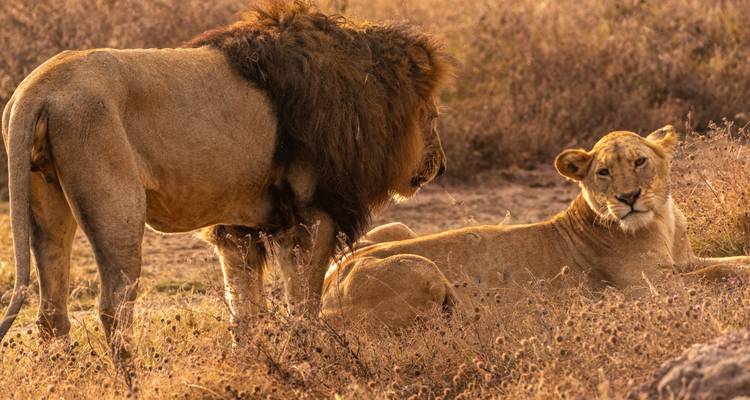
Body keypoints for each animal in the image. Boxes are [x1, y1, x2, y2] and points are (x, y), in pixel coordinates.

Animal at [0, 2, 451, 367]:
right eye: (432, 117)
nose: (441, 166)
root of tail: (38, 88)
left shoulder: (239, 228)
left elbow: (246, 309)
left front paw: (252, 361)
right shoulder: (313, 214)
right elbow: (303, 305)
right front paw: (309, 358)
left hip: (47, 205)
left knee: (51, 312)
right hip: (118, 207)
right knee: (113, 308)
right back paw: (132, 382)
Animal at [321, 126, 750, 328]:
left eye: (640, 161)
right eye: (603, 172)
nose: (629, 197)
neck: (663, 219)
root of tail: (324, 290)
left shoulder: (685, 261)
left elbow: (728, 261)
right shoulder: (652, 288)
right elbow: (720, 274)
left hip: (396, 227)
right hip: (420, 267)